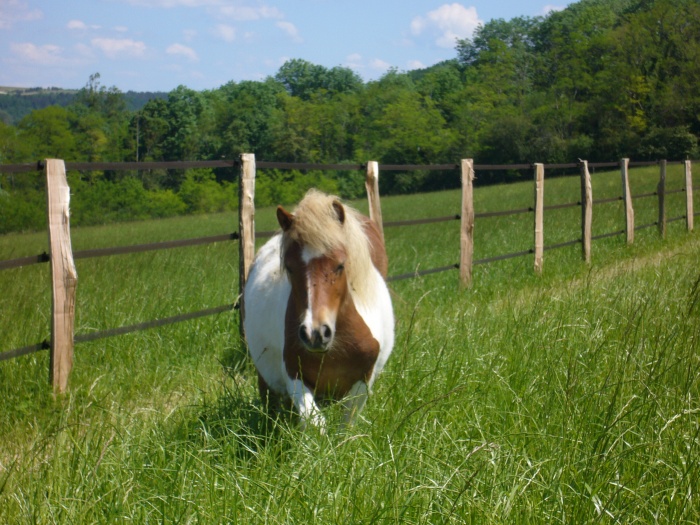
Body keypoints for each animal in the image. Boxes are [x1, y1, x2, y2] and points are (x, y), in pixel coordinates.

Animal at [243, 190, 394, 428]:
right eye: (289, 267)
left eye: (340, 265)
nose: (315, 333)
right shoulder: (294, 376)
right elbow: (316, 425)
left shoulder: (362, 381)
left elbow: (346, 426)